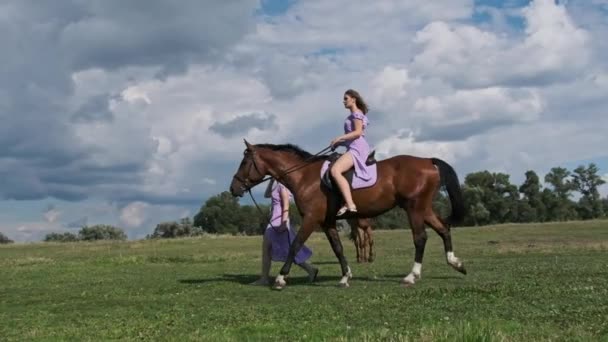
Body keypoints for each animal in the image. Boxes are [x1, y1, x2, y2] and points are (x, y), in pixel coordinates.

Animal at [230, 141, 468, 288]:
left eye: (244, 163)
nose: (234, 189)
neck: (305, 176)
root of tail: (428, 160)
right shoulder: (327, 222)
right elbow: (338, 248)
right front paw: (345, 277)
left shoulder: (312, 219)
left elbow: (295, 244)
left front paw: (281, 278)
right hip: (424, 208)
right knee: (443, 229)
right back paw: (456, 263)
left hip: (414, 209)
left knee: (420, 238)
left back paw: (411, 276)